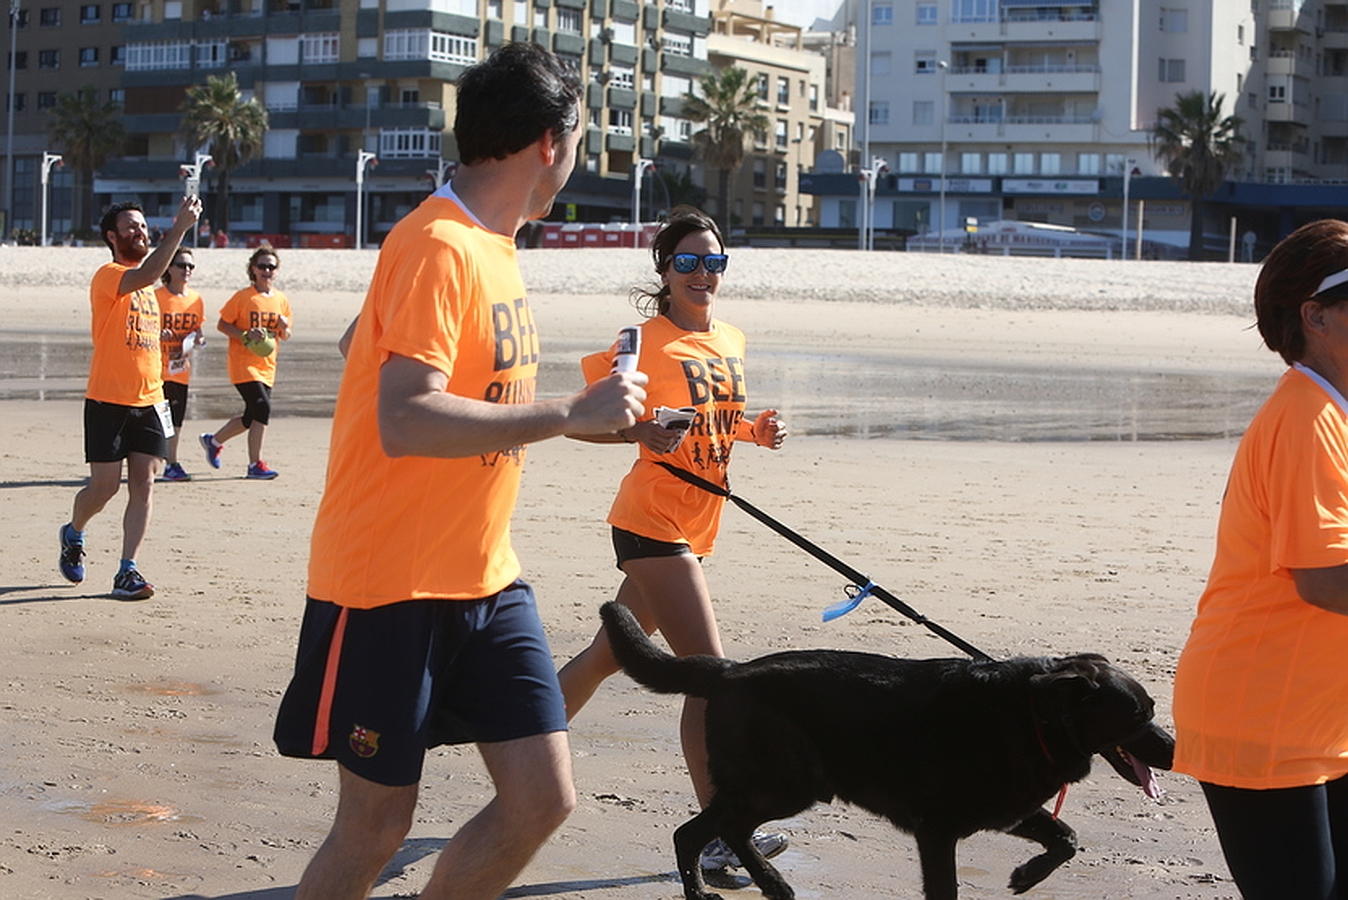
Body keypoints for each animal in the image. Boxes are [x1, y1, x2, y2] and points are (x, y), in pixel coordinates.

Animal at [595, 598, 1175, 900]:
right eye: (1139, 715)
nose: (1174, 749)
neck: (1035, 716)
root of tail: (729, 671)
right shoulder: (937, 831)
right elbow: (946, 890)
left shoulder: (1011, 811)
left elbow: (1067, 838)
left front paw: (1027, 876)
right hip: (786, 784)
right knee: (703, 831)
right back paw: (733, 887)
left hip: (778, 786)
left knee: (715, 830)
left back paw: (765, 884)